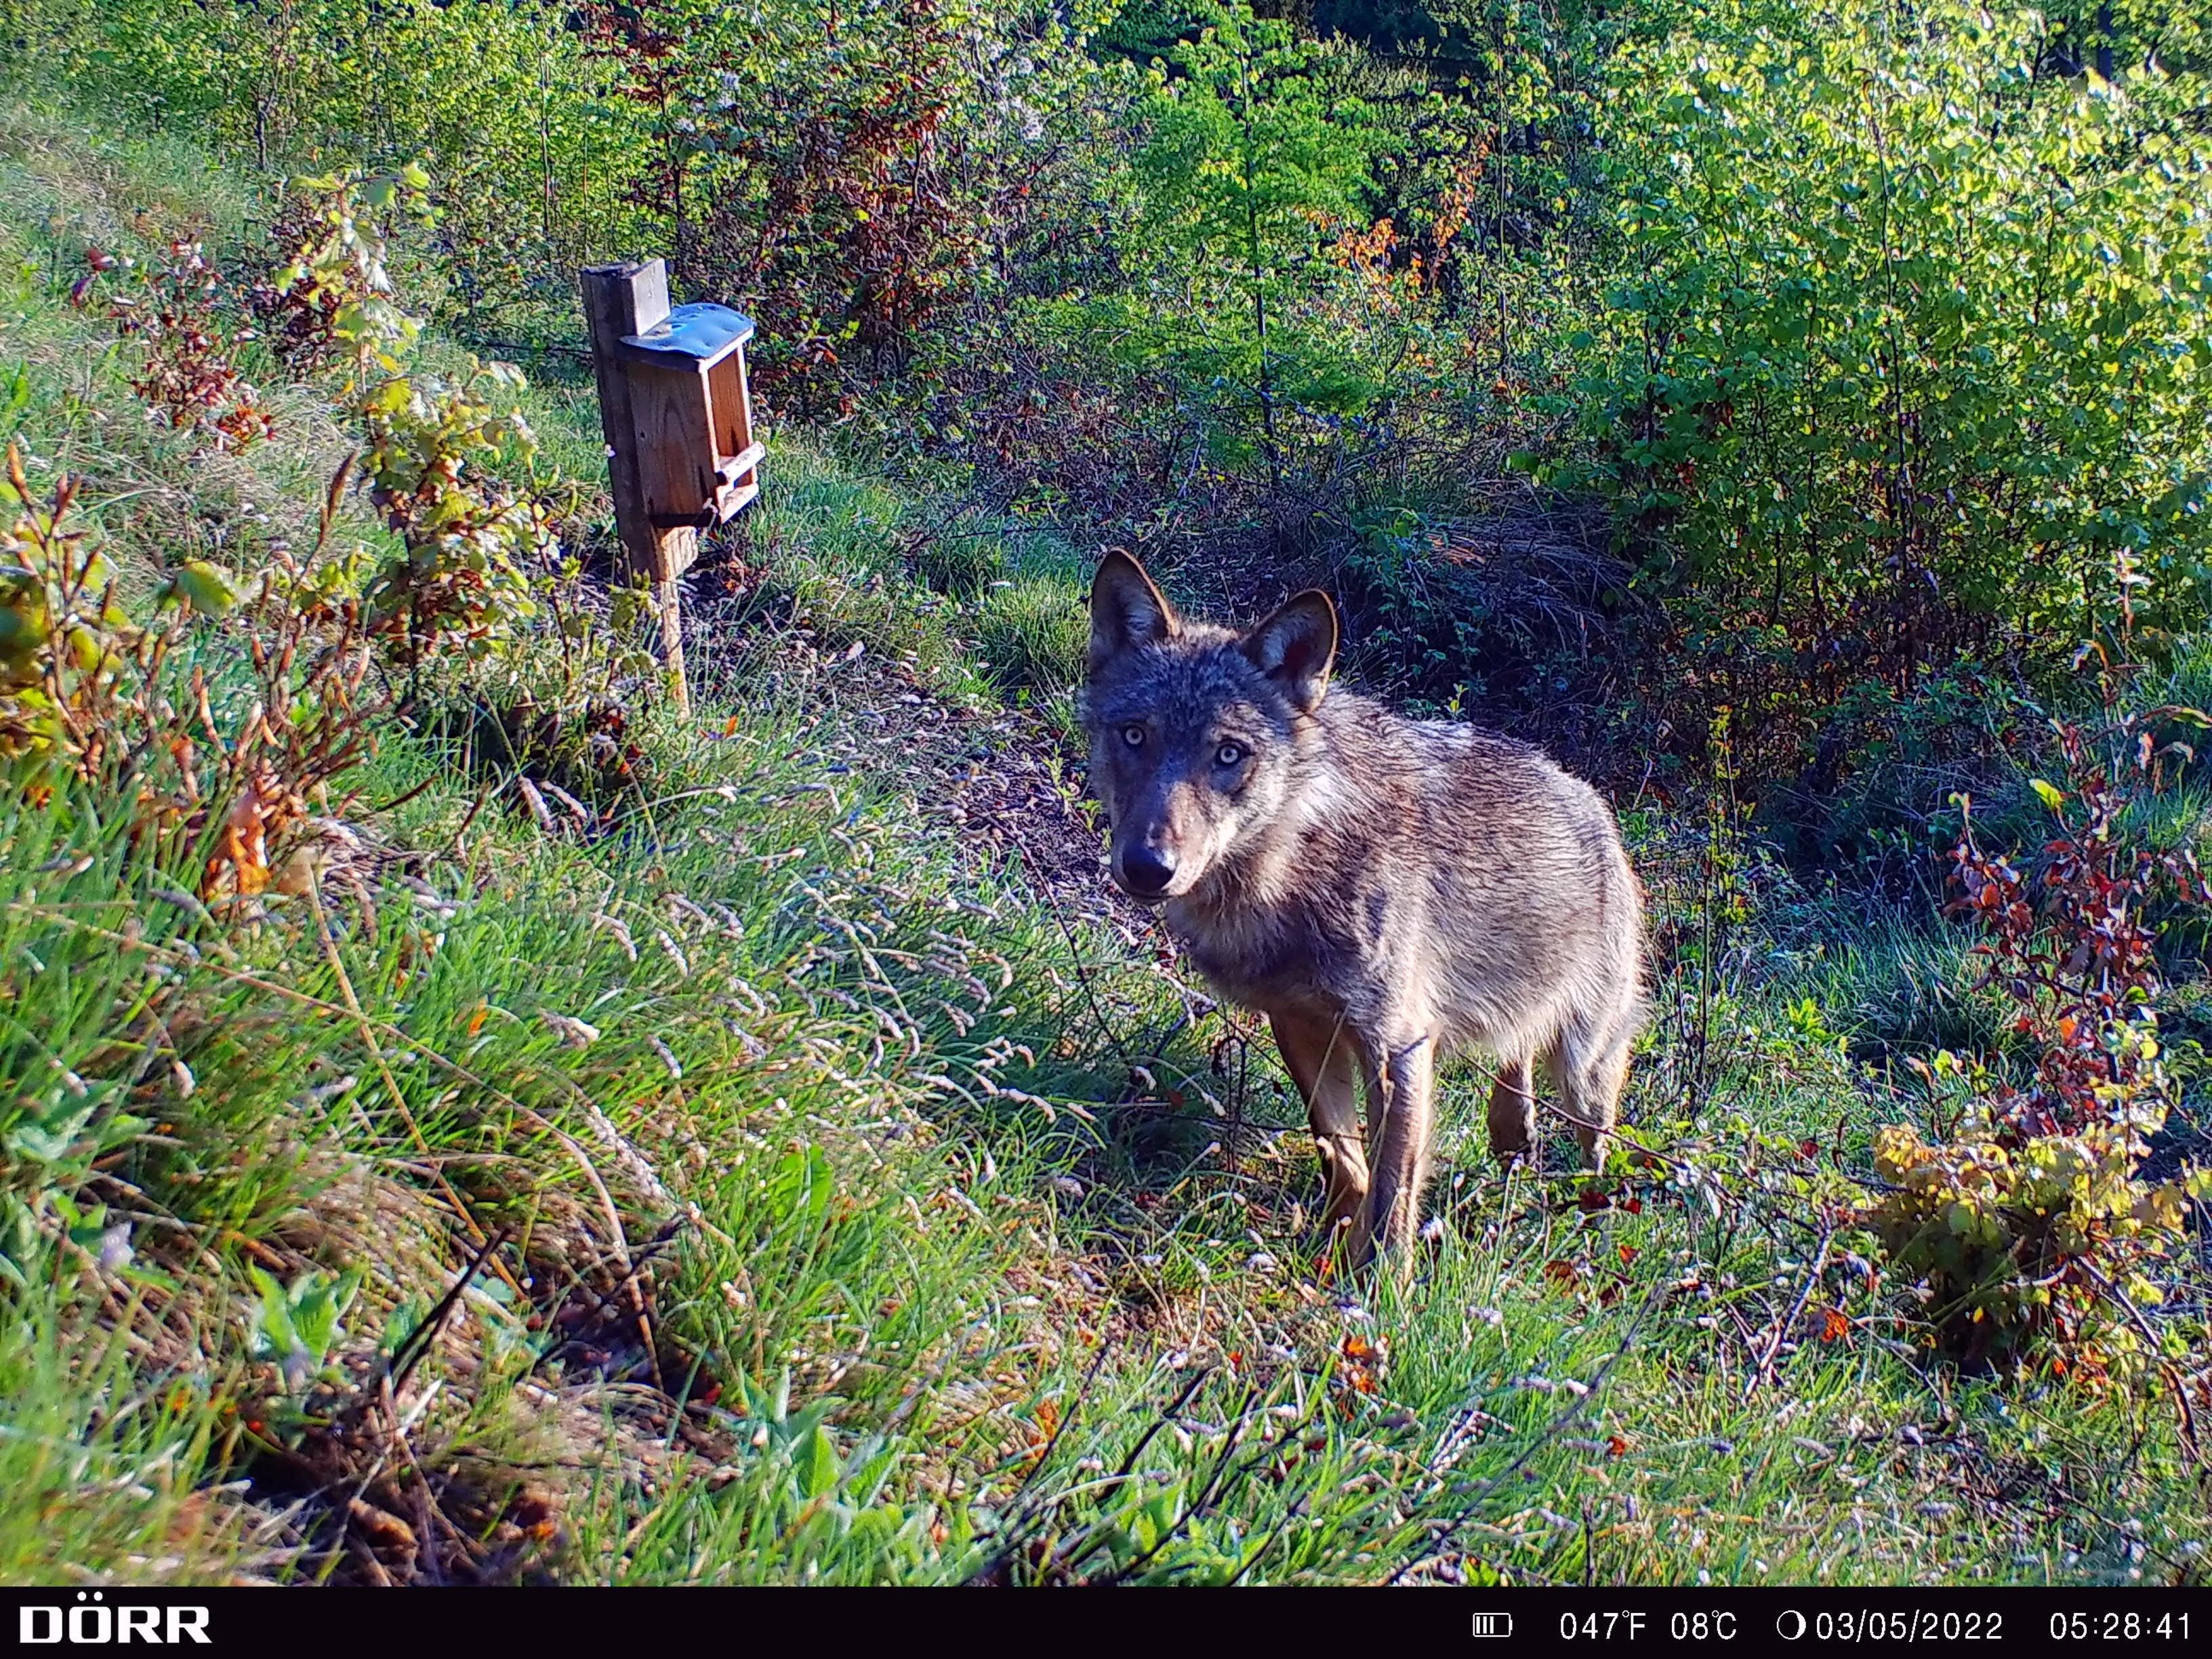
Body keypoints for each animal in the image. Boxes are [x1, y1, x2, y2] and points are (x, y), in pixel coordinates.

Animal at [1079, 559, 1637, 1274]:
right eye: (1134, 735)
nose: (1149, 867)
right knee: (1515, 1085)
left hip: (1584, 1070)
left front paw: (1378, 1286)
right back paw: (1515, 1149)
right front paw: (1333, 1238)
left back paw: (1588, 1225)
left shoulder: (1398, 1046)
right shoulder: (1299, 1026)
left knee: (1595, 1145)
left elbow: (1394, 1186)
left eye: (1229, 754)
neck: (1292, 868)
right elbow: (1341, 1155)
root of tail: (1594, 801)